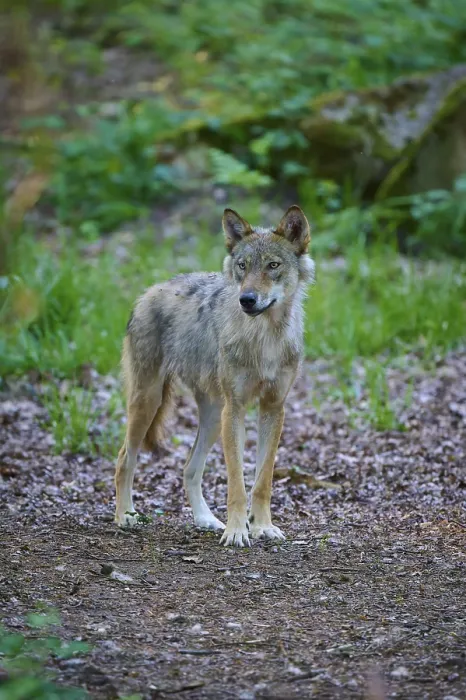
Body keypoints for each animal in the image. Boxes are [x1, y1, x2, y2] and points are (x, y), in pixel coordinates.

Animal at [114, 205, 314, 546]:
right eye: (243, 266)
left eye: (272, 266)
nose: (247, 299)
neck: (265, 338)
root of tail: (148, 292)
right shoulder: (235, 409)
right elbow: (237, 482)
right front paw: (237, 532)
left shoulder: (273, 408)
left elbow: (262, 481)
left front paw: (262, 526)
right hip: (150, 403)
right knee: (125, 458)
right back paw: (124, 516)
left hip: (211, 416)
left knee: (189, 468)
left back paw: (205, 519)